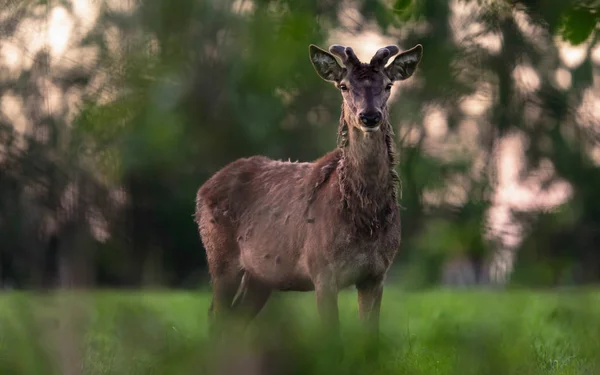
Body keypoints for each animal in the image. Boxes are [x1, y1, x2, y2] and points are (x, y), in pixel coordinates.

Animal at [195, 43, 424, 350]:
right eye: (343, 85)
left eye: (388, 85)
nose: (370, 116)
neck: (363, 219)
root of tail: (203, 188)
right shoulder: (322, 269)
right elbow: (331, 337)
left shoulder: (377, 274)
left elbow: (370, 340)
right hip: (219, 257)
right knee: (215, 315)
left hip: (260, 275)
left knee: (235, 319)